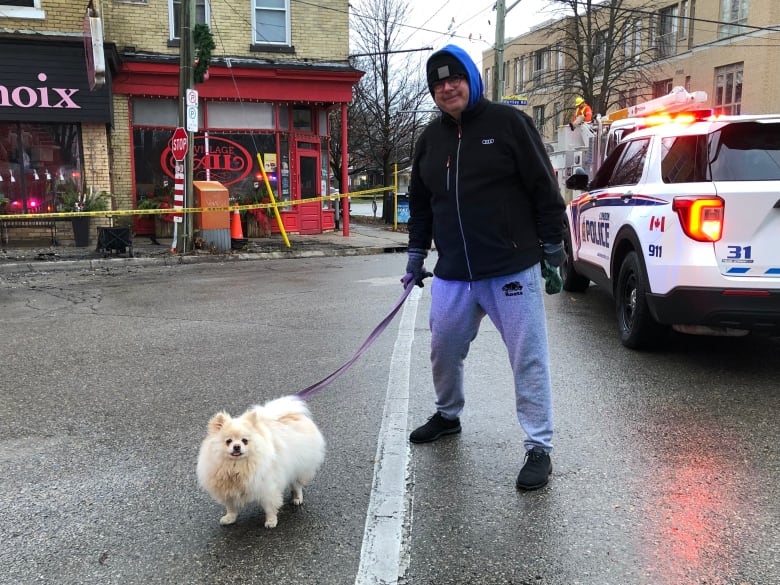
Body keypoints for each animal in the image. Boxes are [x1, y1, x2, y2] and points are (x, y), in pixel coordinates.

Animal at [200, 394, 328, 528]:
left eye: (245, 441)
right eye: (228, 441)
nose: (237, 447)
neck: (236, 466)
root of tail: (293, 414)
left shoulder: (267, 487)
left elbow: (270, 506)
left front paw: (271, 521)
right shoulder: (228, 490)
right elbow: (231, 507)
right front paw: (229, 518)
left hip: (300, 467)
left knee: (297, 485)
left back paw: (297, 498)